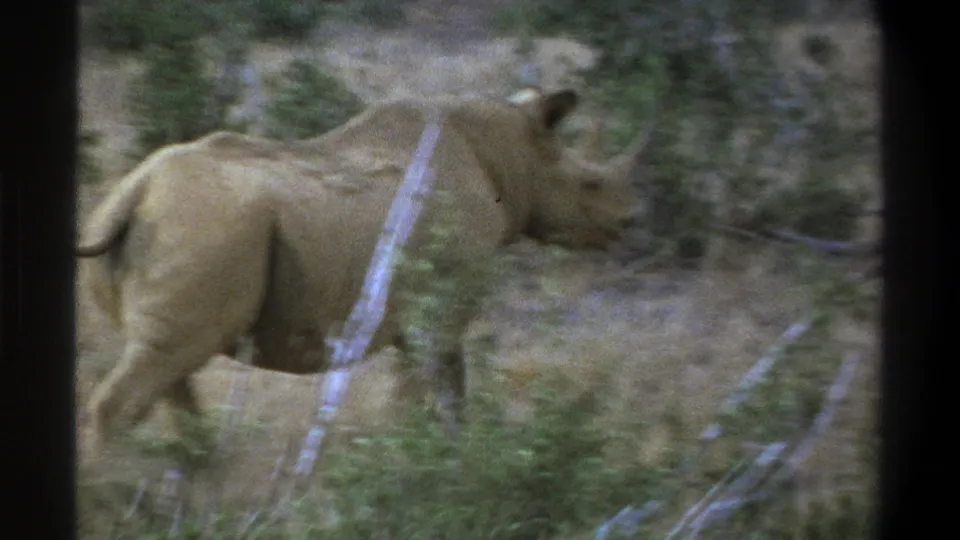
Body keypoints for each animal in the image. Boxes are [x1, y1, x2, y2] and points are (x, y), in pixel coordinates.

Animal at [76, 87, 654, 458]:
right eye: (590, 184)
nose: (630, 221)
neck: (513, 153)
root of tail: (137, 191)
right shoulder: (438, 307)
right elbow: (431, 391)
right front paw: (418, 464)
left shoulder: (423, 308)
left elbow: (441, 392)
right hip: (204, 224)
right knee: (160, 368)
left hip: (178, 224)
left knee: (168, 364)